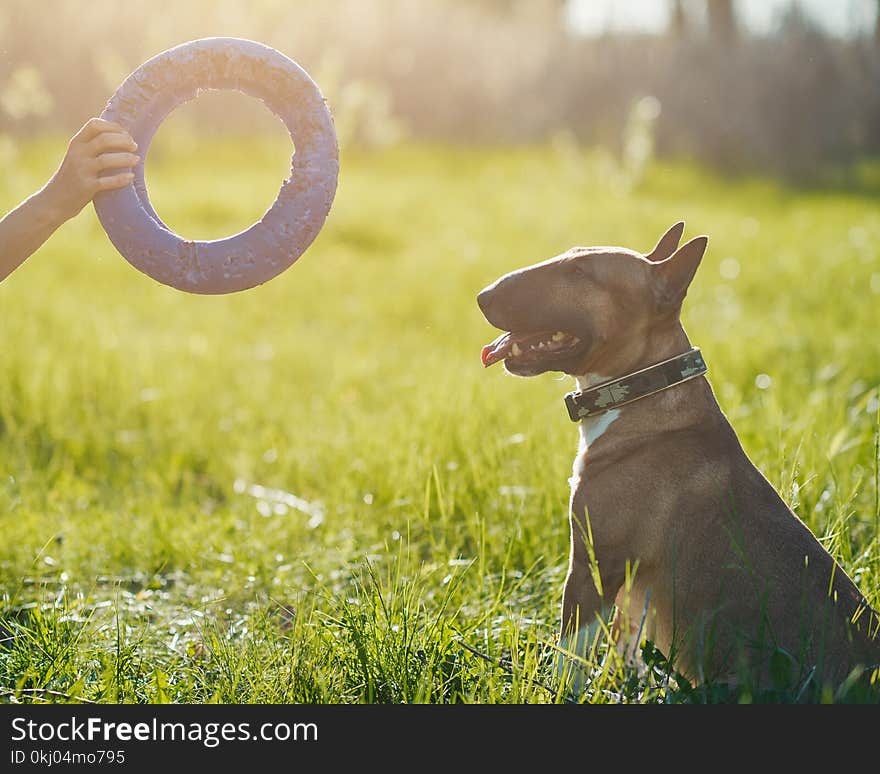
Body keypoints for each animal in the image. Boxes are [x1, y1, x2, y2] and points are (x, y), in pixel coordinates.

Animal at [482, 223, 880, 692]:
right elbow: (623, 646)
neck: (641, 391)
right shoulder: (633, 582)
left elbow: (570, 657)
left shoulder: (594, 565)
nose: (483, 296)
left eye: (580, 273)